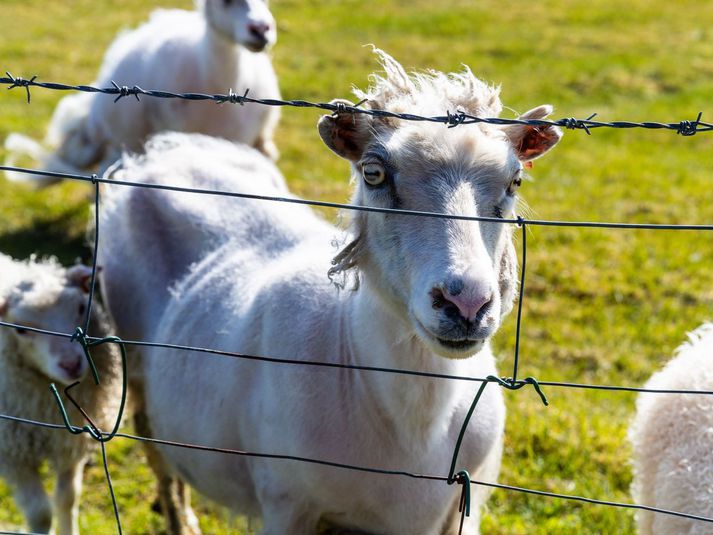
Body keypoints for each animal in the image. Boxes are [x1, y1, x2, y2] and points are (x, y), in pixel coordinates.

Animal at [0, 255, 120, 535]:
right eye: (20, 330)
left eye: (81, 308)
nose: (71, 364)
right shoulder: (12, 454)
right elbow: (40, 514)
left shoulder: (69, 441)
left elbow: (67, 499)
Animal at [96, 48, 560, 532]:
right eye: (373, 174)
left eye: (515, 182)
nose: (465, 303)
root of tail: (167, 147)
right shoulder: (287, 503)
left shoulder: (462, 512)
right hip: (136, 363)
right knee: (155, 447)